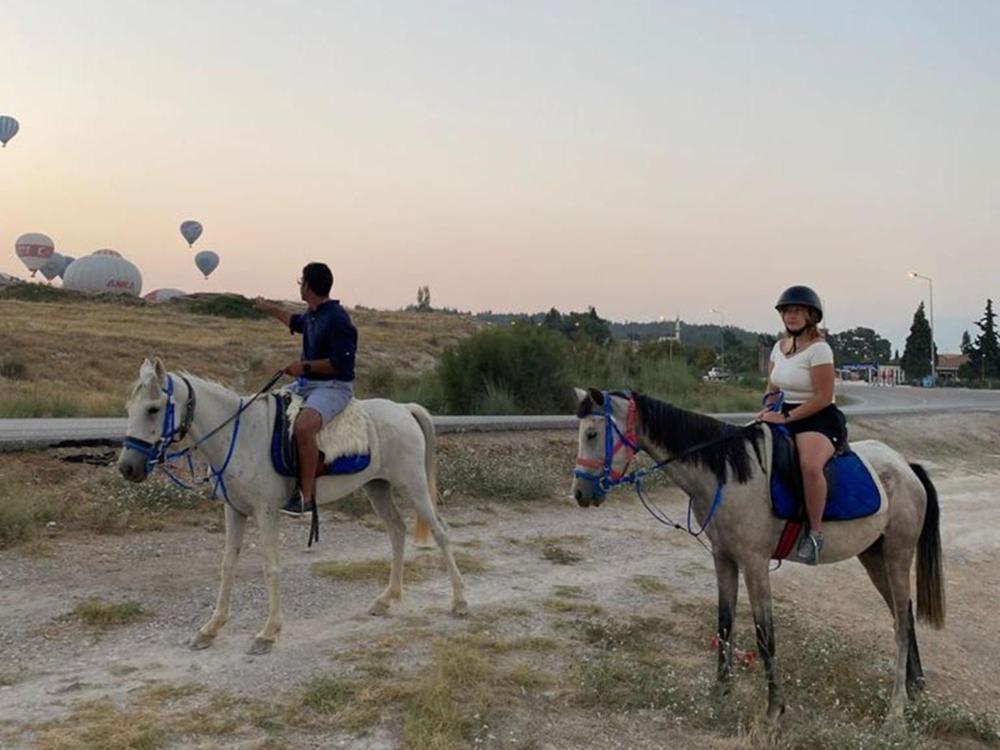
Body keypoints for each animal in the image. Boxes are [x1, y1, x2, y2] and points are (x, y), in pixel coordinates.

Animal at [118, 360, 468, 656]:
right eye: (130, 408)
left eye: (153, 409)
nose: (127, 468)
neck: (238, 434)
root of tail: (404, 410)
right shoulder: (235, 511)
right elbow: (227, 565)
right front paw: (210, 628)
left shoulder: (266, 512)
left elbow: (271, 568)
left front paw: (268, 633)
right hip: (377, 487)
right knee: (397, 531)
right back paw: (386, 599)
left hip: (413, 486)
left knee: (440, 532)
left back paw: (460, 601)